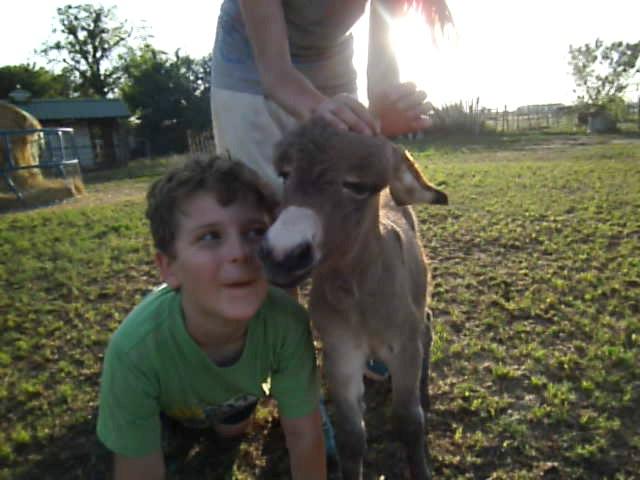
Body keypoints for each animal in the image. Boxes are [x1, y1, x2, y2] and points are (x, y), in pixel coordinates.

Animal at [258, 118, 447, 480]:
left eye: (358, 186)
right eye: (285, 174)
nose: (281, 255)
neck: (357, 292)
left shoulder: (404, 347)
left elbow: (408, 421)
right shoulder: (341, 352)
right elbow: (351, 435)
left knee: (427, 327)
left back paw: (424, 390)